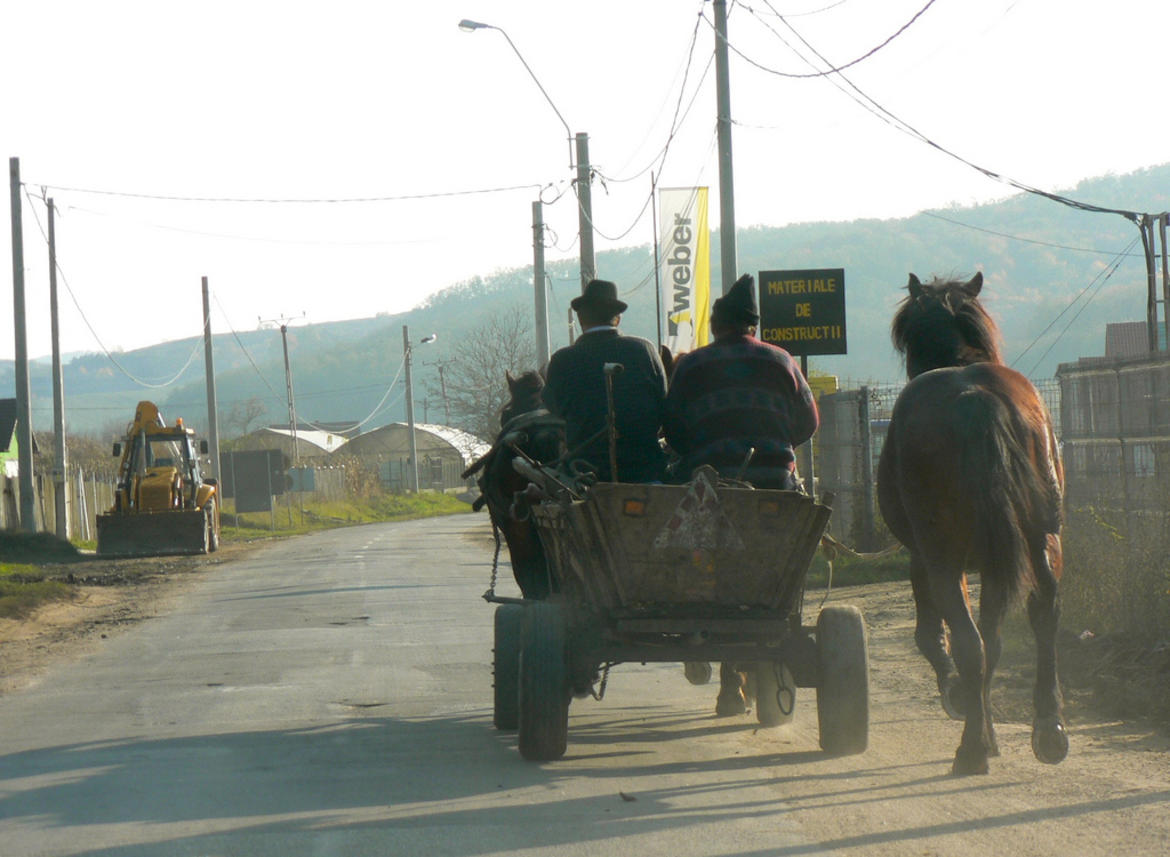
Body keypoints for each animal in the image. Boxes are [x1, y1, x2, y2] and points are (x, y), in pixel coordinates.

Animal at [879, 273, 1071, 777]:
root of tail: (975, 399)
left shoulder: (924, 559)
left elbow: (935, 637)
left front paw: (963, 703)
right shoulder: (994, 562)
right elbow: (996, 640)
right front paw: (990, 731)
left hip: (942, 559)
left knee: (966, 643)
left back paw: (969, 749)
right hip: (1043, 539)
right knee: (1043, 616)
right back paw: (1048, 728)